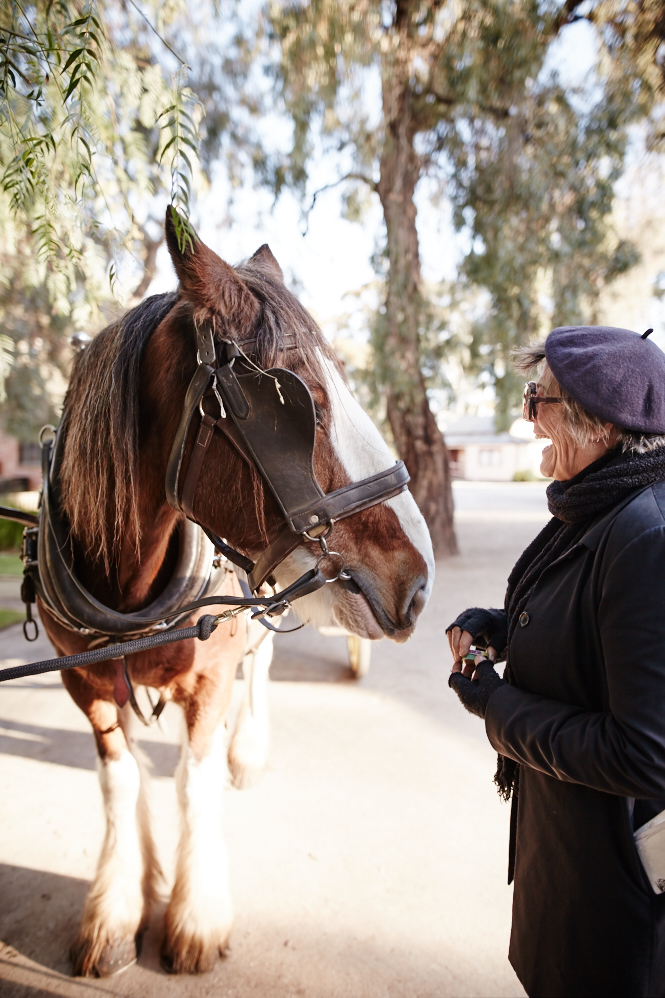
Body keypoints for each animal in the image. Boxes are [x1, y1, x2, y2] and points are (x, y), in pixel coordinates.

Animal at [41, 211, 436, 976]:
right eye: (306, 404)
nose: (419, 579)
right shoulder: (85, 681)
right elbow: (120, 777)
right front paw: (120, 905)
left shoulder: (211, 673)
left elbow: (193, 781)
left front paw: (195, 915)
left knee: (261, 669)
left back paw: (245, 749)